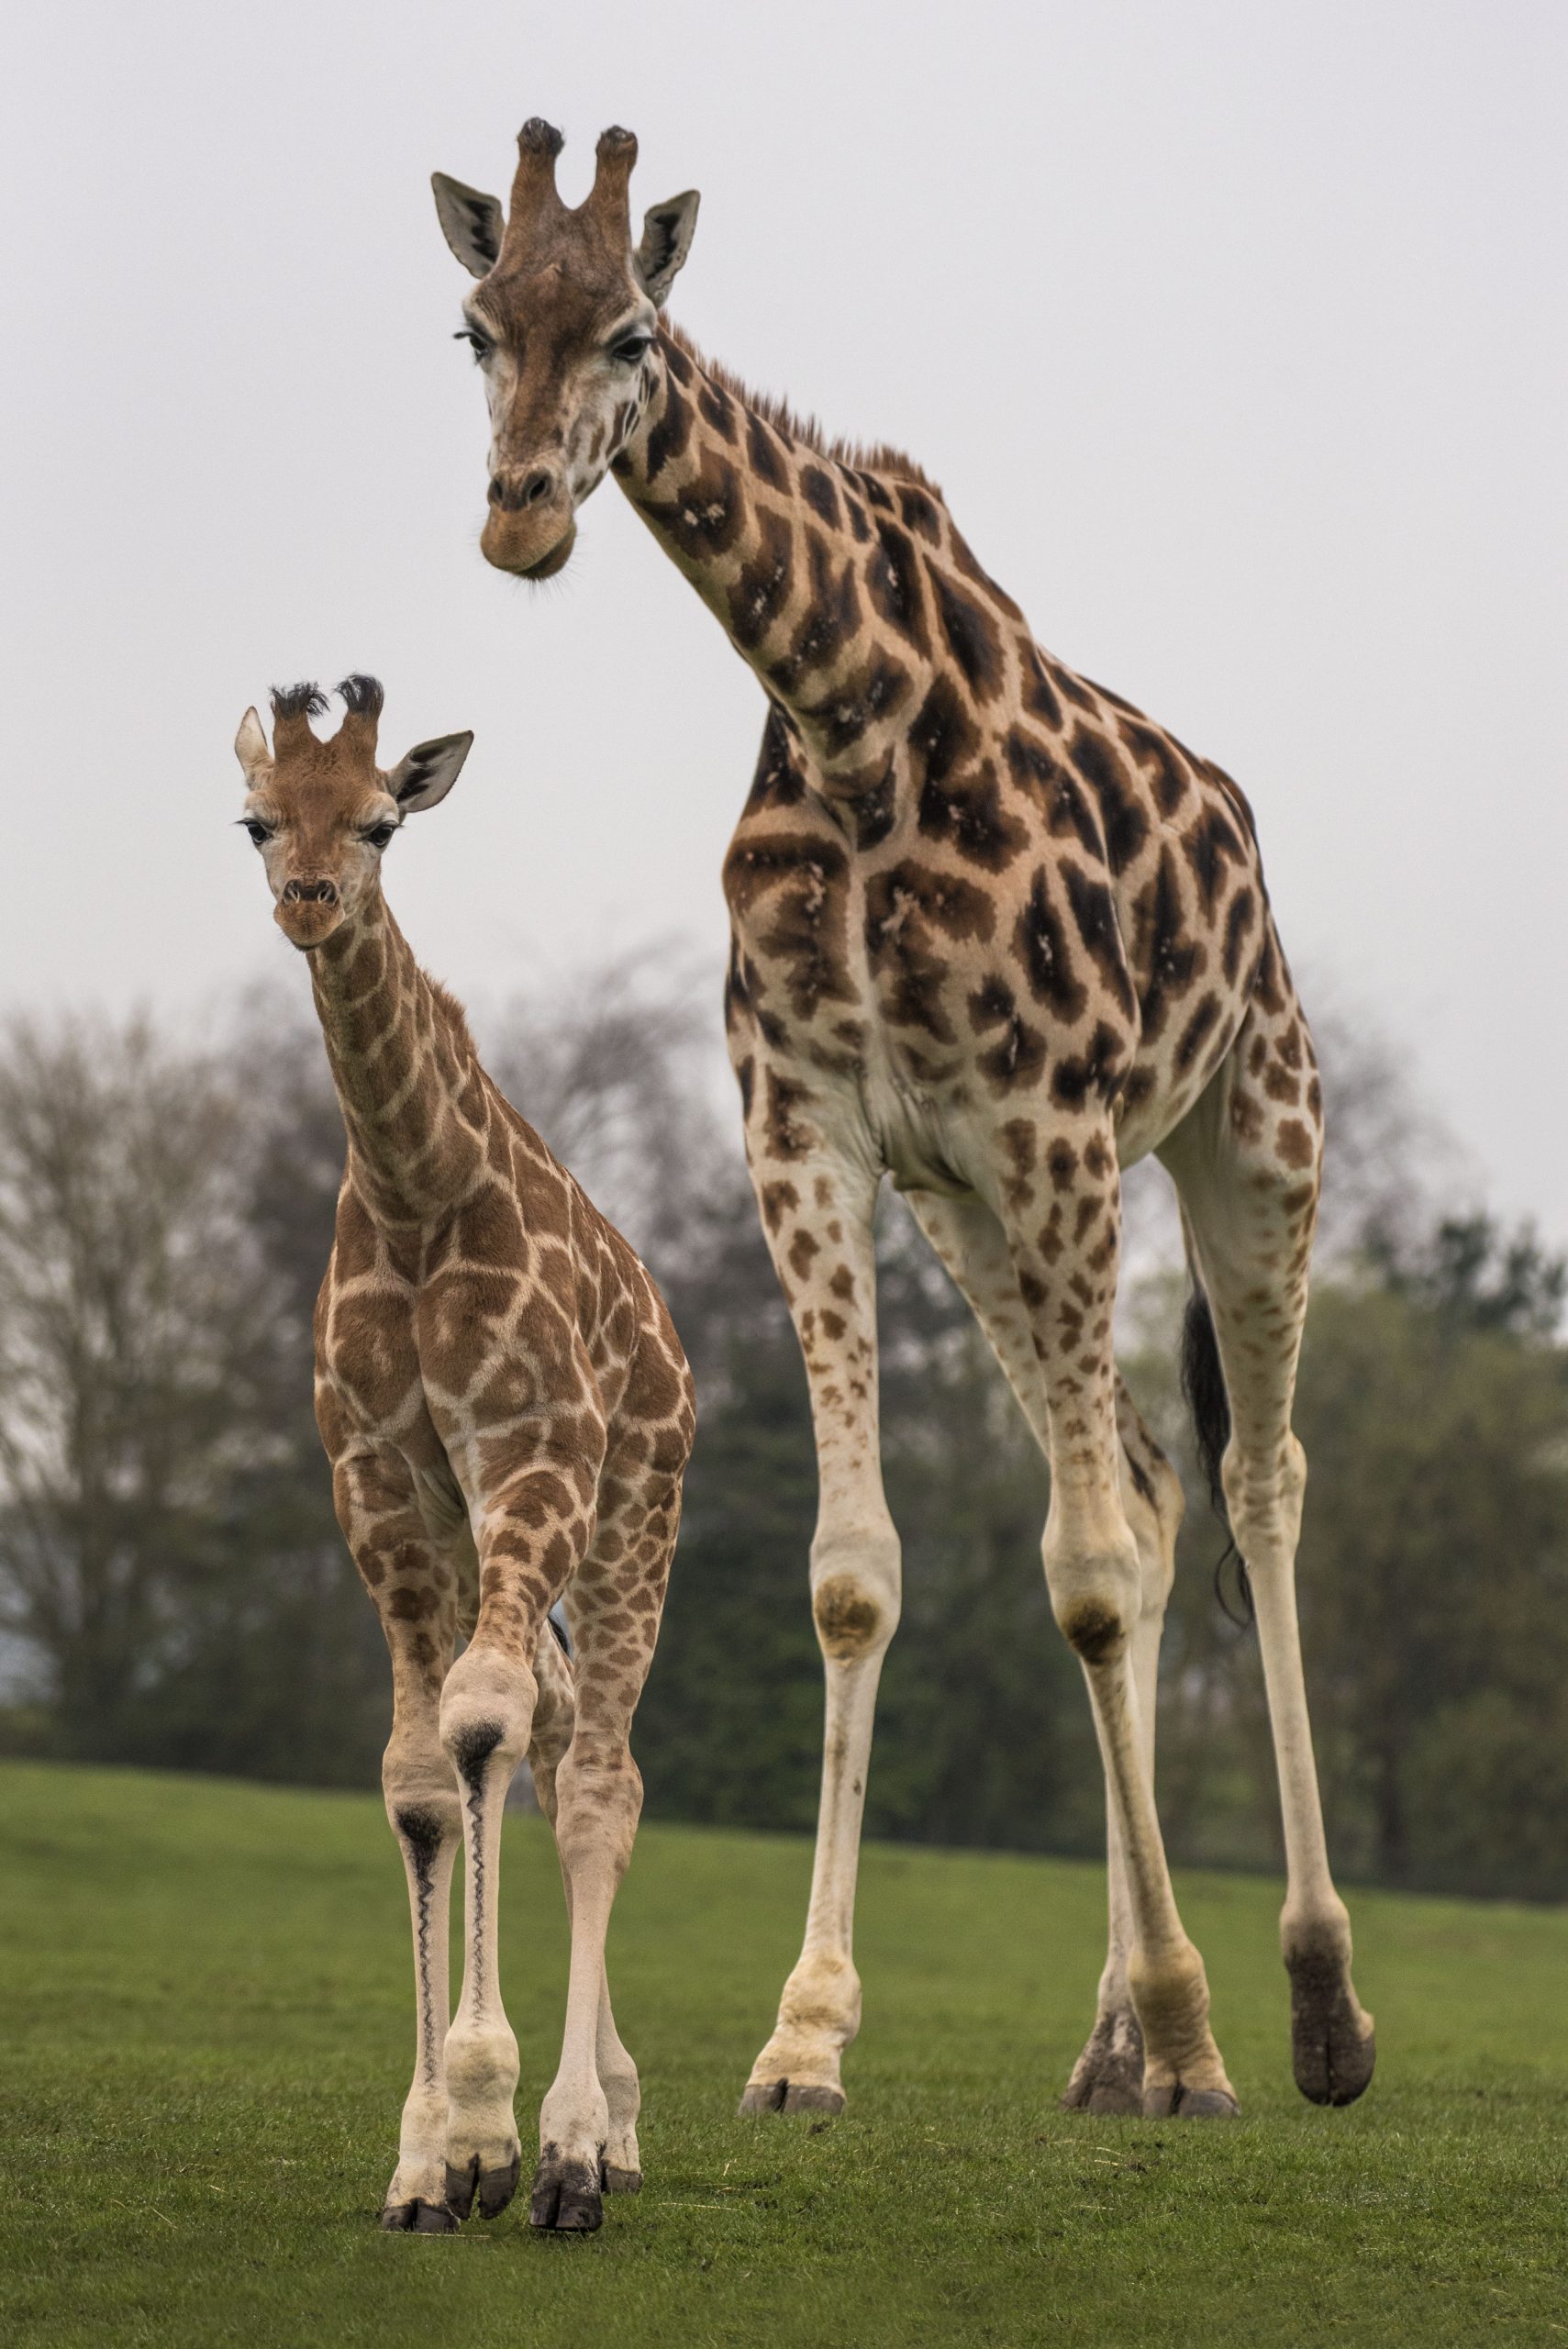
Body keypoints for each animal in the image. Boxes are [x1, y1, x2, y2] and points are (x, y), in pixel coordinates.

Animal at [232, 674, 695, 2230]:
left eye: (383, 819)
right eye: (258, 819)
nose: (310, 898)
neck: (415, 1189)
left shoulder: (532, 1452)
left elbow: (481, 1720)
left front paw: (498, 2130)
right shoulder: (380, 1488)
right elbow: (423, 1781)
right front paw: (426, 2157)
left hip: (630, 1510)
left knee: (600, 1777)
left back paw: (578, 2153)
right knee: (552, 1745)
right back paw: (609, 2119)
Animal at [429, 120, 1377, 2122]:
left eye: (632, 331)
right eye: (474, 324)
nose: (520, 512)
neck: (851, 716)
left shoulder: (1052, 1115)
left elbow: (1076, 1579)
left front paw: (1198, 2038)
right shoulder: (811, 1125)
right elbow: (859, 1577)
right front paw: (806, 2030)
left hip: (1248, 1132)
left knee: (1252, 1485)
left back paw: (1310, 2008)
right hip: (979, 1219)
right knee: (1151, 1494)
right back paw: (1107, 2043)